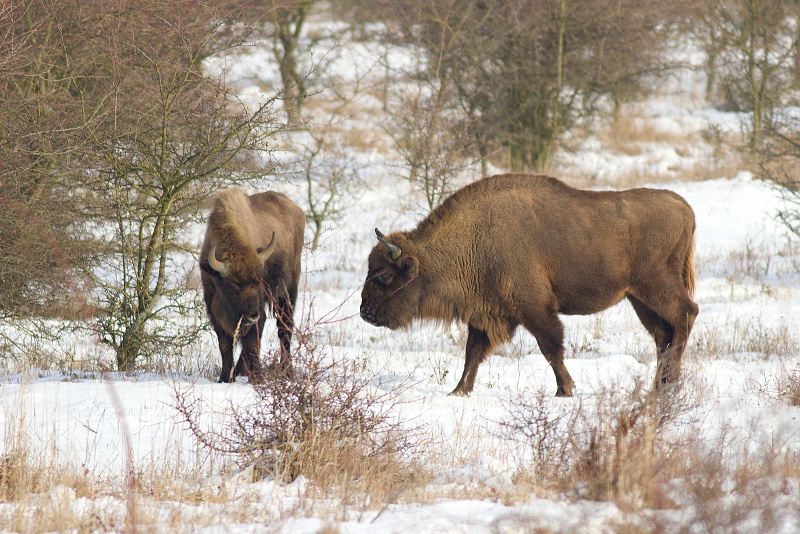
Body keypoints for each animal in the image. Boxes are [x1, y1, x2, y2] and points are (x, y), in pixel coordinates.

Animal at [199, 189, 304, 386]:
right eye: (230, 284)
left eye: (258, 280)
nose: (251, 316)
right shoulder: (213, 308)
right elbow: (225, 344)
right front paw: (225, 377)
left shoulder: (259, 309)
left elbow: (252, 342)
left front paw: (256, 378)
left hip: (288, 291)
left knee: (284, 329)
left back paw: (287, 372)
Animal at [360, 175, 696, 398]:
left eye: (384, 276)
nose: (364, 312)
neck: (475, 238)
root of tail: (684, 207)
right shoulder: (484, 316)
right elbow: (472, 353)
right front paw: (458, 391)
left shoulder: (535, 310)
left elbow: (551, 348)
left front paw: (565, 390)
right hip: (638, 298)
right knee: (663, 335)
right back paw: (659, 387)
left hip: (655, 286)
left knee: (685, 316)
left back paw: (670, 384)